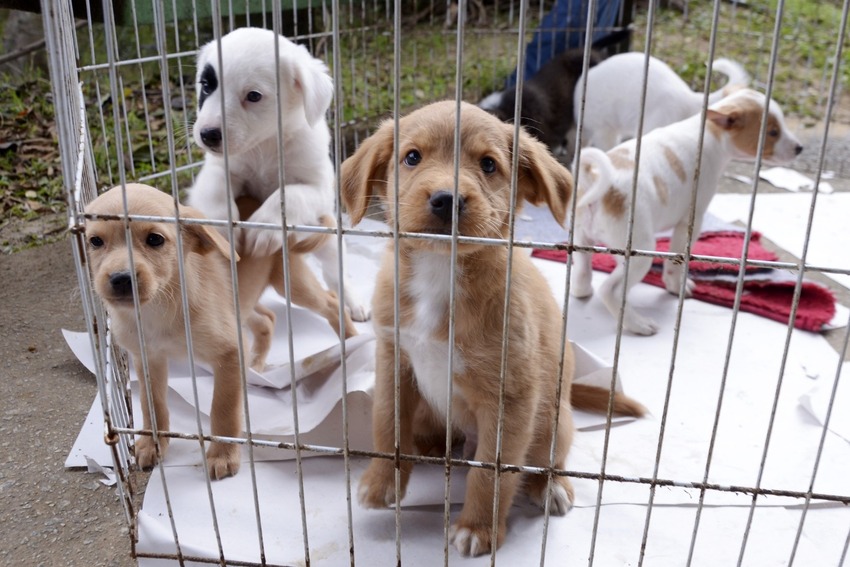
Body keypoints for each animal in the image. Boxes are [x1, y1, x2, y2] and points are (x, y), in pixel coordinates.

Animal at [187, 26, 366, 324]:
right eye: (206, 85)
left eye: (254, 95)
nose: (207, 135)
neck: (265, 146)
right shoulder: (217, 169)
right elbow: (216, 188)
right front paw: (221, 226)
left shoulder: (318, 187)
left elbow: (290, 194)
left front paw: (265, 226)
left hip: (327, 238)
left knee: (335, 274)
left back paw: (353, 303)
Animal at [338, 100, 644, 556]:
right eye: (412, 157)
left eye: (488, 164)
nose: (447, 200)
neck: (441, 272)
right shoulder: (393, 360)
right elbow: (387, 424)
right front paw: (381, 482)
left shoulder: (511, 399)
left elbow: (492, 471)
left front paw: (478, 528)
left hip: (554, 420)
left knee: (549, 457)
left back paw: (551, 486)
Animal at [568, 88, 800, 336]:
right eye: (773, 132)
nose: (799, 148)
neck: (709, 131)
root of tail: (596, 181)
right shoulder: (690, 222)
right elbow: (674, 263)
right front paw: (676, 287)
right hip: (639, 253)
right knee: (610, 290)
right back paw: (637, 323)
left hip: (581, 240)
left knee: (582, 271)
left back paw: (582, 291)